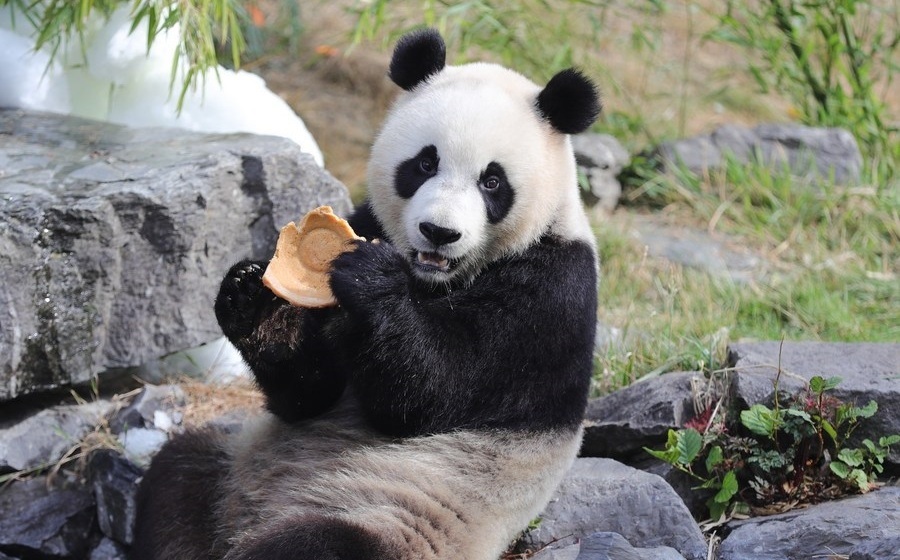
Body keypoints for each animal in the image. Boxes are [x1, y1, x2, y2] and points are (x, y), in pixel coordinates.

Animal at [133, 29, 600, 560]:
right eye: (424, 163)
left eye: (492, 181)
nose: (439, 232)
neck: (433, 280)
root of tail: (241, 528)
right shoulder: (368, 220)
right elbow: (309, 395)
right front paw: (254, 302)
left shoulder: (550, 293)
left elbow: (430, 395)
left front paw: (369, 278)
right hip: (230, 468)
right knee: (177, 479)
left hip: (391, 517)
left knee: (316, 544)